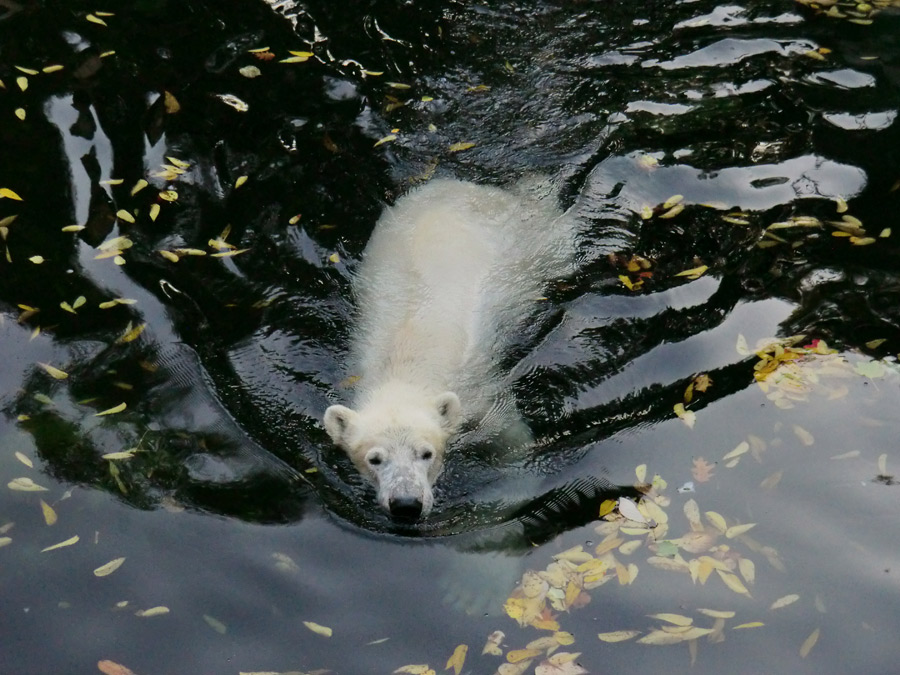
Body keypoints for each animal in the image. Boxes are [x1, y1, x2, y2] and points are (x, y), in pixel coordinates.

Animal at [324, 177, 576, 520]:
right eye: (374, 459)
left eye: (426, 453)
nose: (406, 505)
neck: (404, 369)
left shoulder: (478, 392)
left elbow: (506, 434)